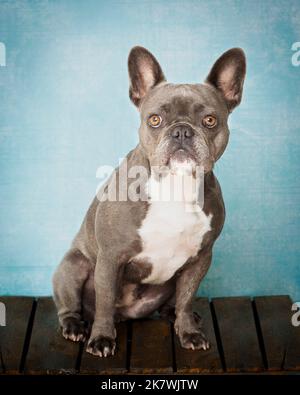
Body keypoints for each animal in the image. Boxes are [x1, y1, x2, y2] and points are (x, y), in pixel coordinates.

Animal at [53, 46, 246, 358]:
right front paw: (102, 338)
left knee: (175, 302)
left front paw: (188, 331)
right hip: (73, 265)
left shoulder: (200, 258)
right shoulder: (111, 257)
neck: (175, 185)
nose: (182, 131)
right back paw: (74, 326)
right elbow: (105, 302)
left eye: (210, 120)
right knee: (72, 305)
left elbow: (187, 298)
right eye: (154, 119)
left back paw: (181, 317)